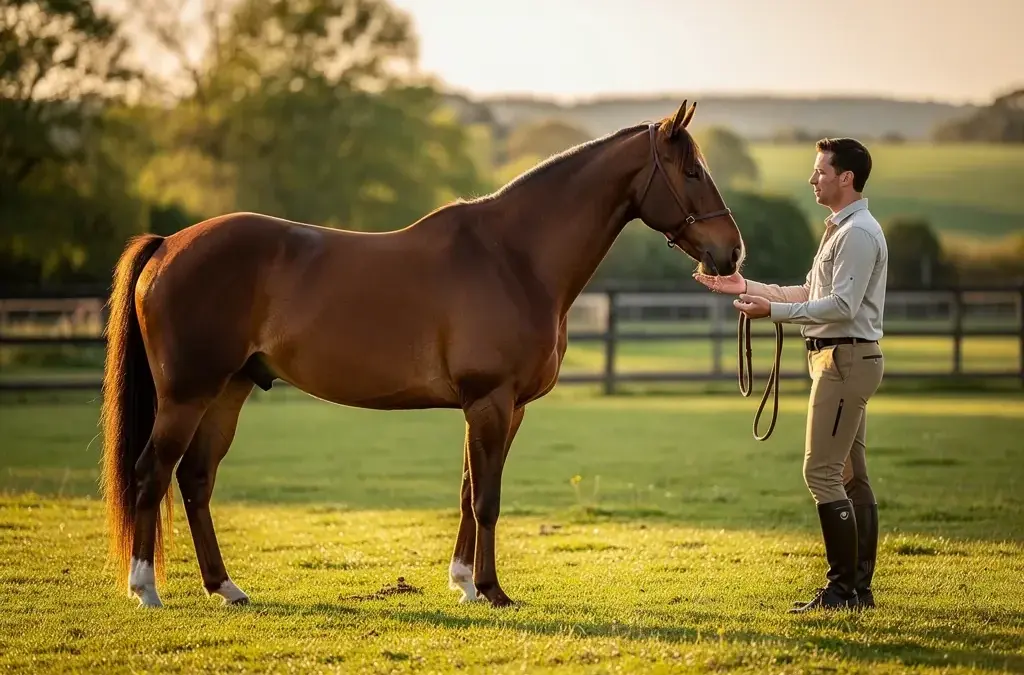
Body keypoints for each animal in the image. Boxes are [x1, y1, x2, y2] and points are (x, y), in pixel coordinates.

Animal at [99, 100, 745, 609]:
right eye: (691, 170)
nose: (731, 253)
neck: (513, 257)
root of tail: (168, 245)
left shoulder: (505, 408)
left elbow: (467, 490)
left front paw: (462, 582)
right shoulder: (489, 401)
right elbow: (486, 498)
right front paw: (492, 590)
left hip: (228, 390)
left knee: (195, 479)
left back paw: (225, 588)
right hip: (187, 394)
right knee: (151, 473)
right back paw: (146, 590)